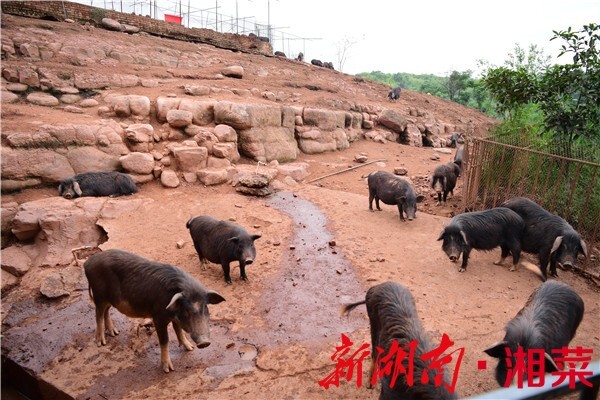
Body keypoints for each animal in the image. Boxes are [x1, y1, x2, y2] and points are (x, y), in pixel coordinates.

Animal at [84, 248, 225, 374]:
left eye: (205, 307)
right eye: (186, 309)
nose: (204, 342)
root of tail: (87, 263)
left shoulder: (175, 318)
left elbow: (178, 330)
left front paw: (190, 348)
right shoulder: (158, 318)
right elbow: (165, 340)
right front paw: (168, 369)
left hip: (109, 299)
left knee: (106, 312)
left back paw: (114, 333)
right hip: (99, 296)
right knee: (98, 315)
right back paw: (101, 343)